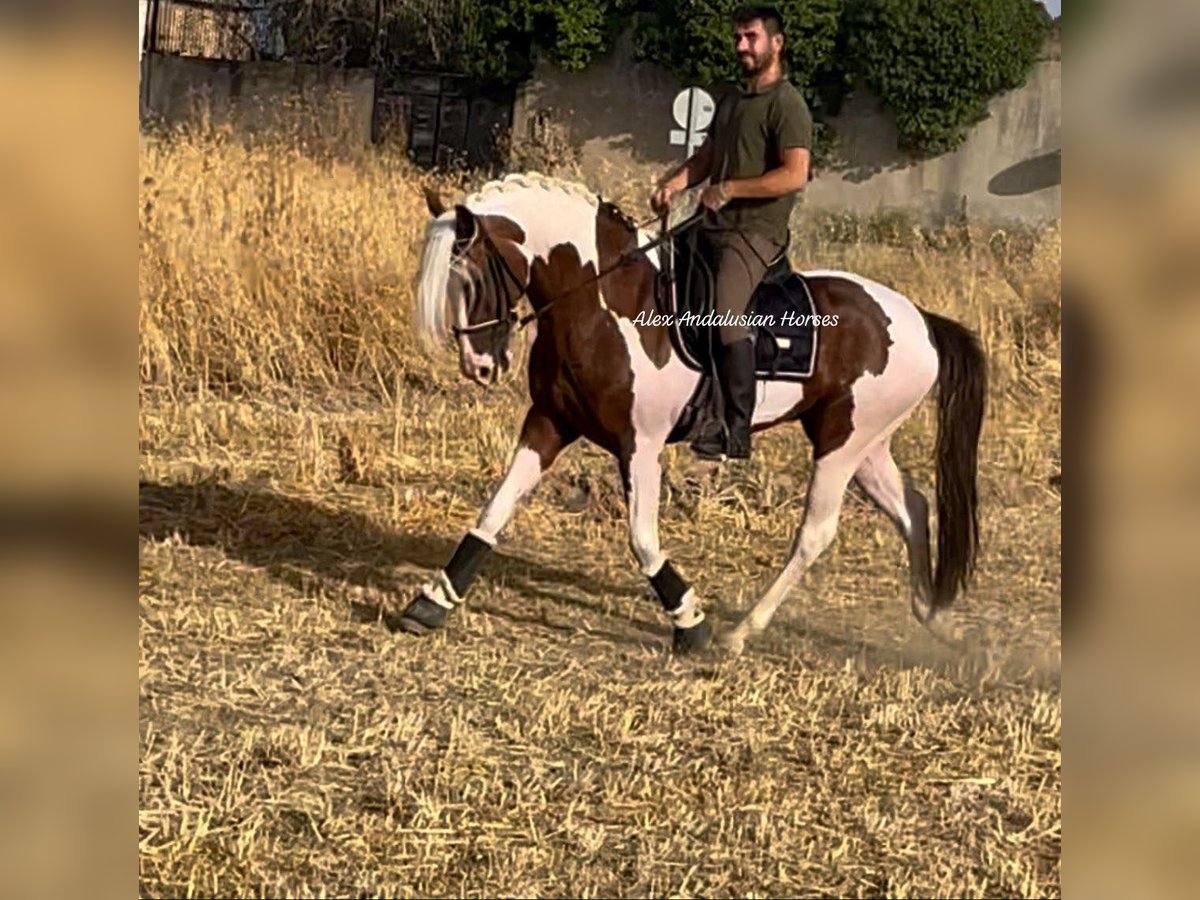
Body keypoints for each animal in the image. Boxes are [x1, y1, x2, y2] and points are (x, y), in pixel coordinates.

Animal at [400, 174, 984, 657]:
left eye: (473, 280)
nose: (478, 366)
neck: (604, 302)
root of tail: (919, 319)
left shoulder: (640, 446)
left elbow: (642, 539)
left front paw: (690, 622)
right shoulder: (548, 424)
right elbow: (492, 513)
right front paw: (433, 600)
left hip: (844, 442)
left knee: (816, 533)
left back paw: (740, 632)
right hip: (862, 443)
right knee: (911, 509)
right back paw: (934, 616)